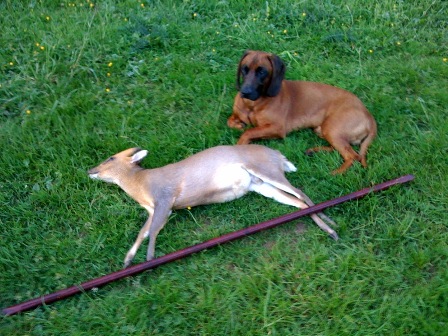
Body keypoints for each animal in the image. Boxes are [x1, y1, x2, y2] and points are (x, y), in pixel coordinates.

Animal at [87, 145, 338, 268]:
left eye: (110, 158)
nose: (91, 170)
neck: (142, 183)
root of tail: (278, 155)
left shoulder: (165, 200)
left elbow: (154, 231)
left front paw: (149, 260)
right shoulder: (153, 208)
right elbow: (143, 232)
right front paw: (128, 260)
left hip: (267, 171)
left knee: (301, 193)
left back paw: (331, 226)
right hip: (260, 185)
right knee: (297, 201)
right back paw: (329, 228)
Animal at [228, 51, 378, 176]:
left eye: (262, 72)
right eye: (244, 69)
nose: (245, 92)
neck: (252, 105)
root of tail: (369, 116)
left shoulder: (277, 128)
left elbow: (248, 132)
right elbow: (230, 122)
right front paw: (239, 125)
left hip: (332, 129)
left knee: (353, 156)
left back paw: (335, 172)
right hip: (324, 131)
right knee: (339, 149)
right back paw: (314, 151)